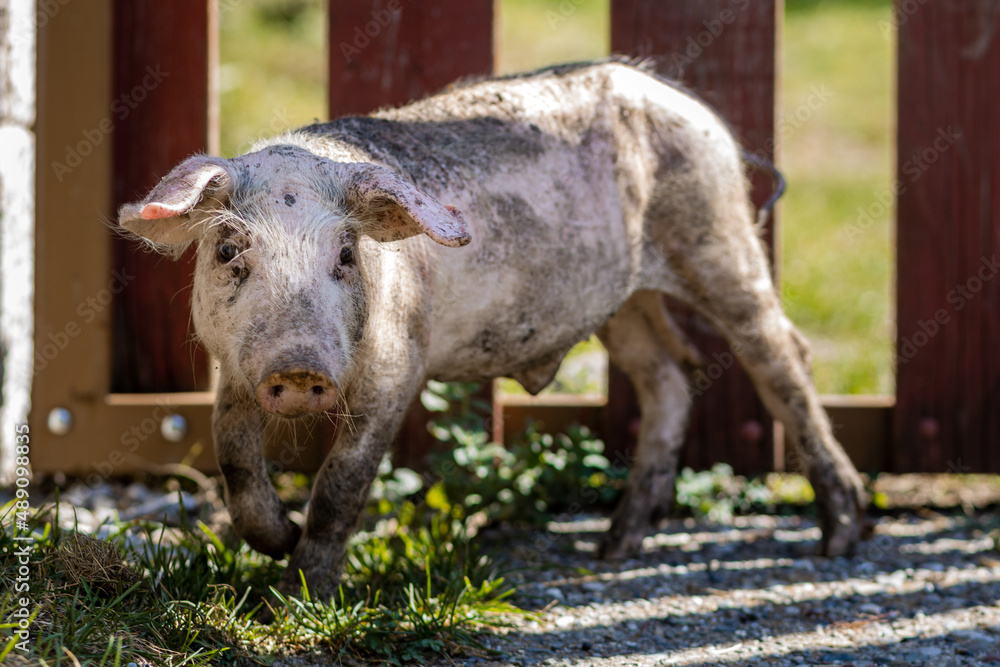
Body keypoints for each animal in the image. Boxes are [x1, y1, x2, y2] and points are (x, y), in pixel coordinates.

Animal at [119, 59, 867, 600]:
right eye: (228, 250)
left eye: (346, 254)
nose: (299, 368)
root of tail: (695, 109)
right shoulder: (232, 366)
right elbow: (235, 461)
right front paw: (277, 539)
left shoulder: (399, 361)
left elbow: (341, 485)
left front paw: (297, 602)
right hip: (621, 303)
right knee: (670, 377)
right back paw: (615, 544)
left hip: (718, 239)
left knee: (785, 360)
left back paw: (841, 537)